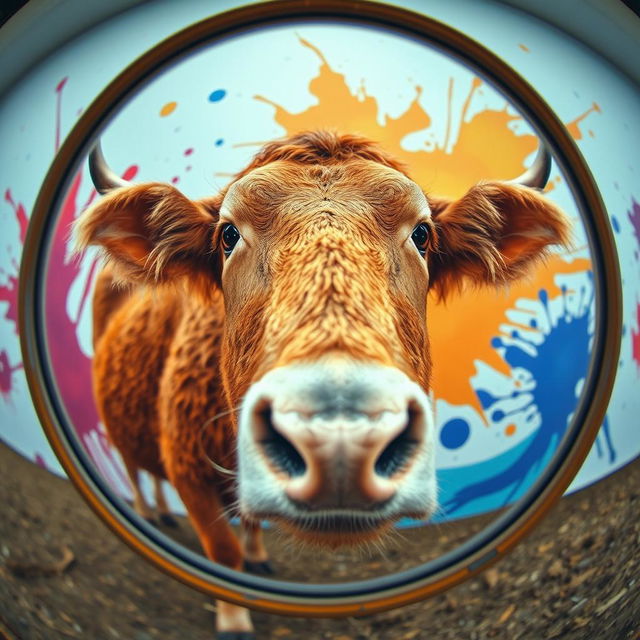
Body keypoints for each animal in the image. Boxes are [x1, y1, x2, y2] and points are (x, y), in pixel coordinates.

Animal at [75, 127, 568, 636]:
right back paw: (150, 512)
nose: (340, 439)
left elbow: (249, 524)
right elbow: (223, 552)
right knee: (134, 470)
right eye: (228, 235)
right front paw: (234, 618)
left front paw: (257, 557)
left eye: (422, 234)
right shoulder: (188, 471)